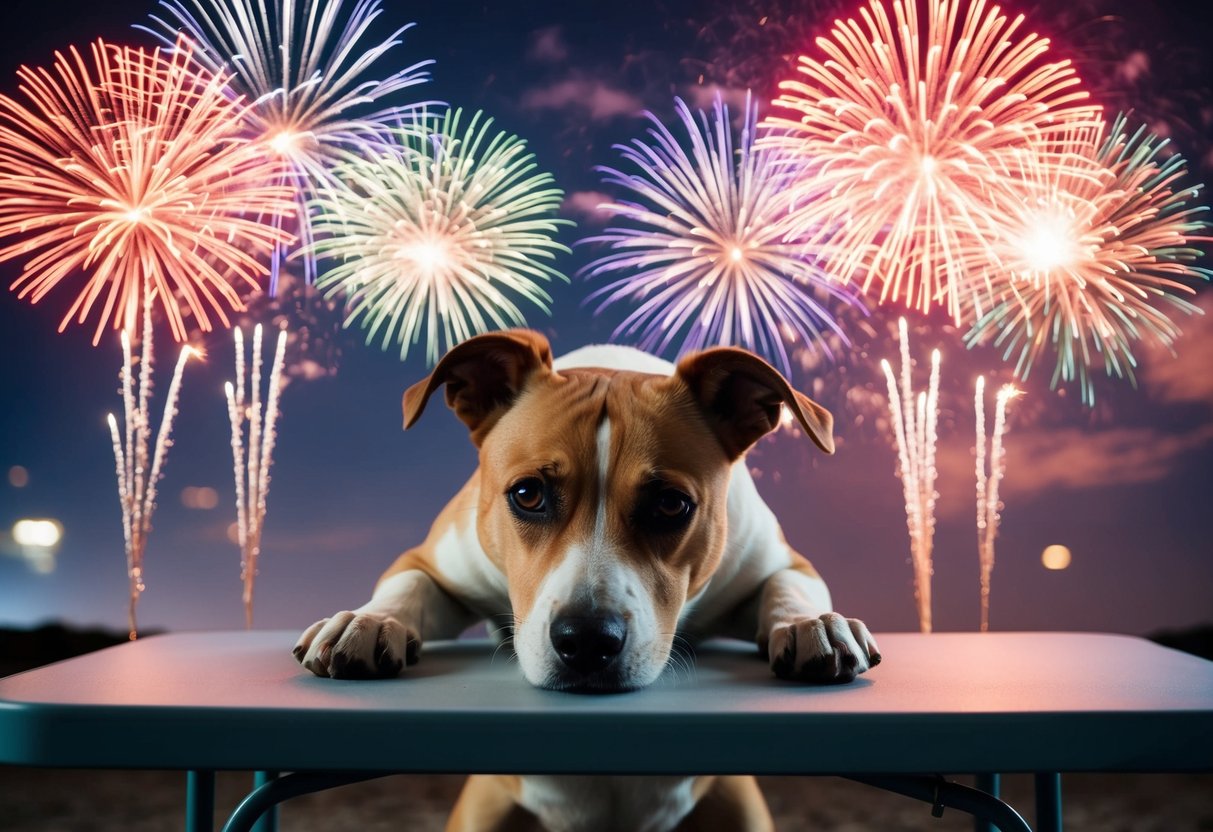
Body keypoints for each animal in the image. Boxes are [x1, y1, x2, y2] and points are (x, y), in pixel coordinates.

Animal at [293, 329, 883, 832]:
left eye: (672, 505)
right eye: (527, 494)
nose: (587, 641)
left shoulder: (781, 561)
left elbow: (788, 588)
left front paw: (815, 625)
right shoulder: (432, 560)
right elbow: (407, 586)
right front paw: (365, 623)